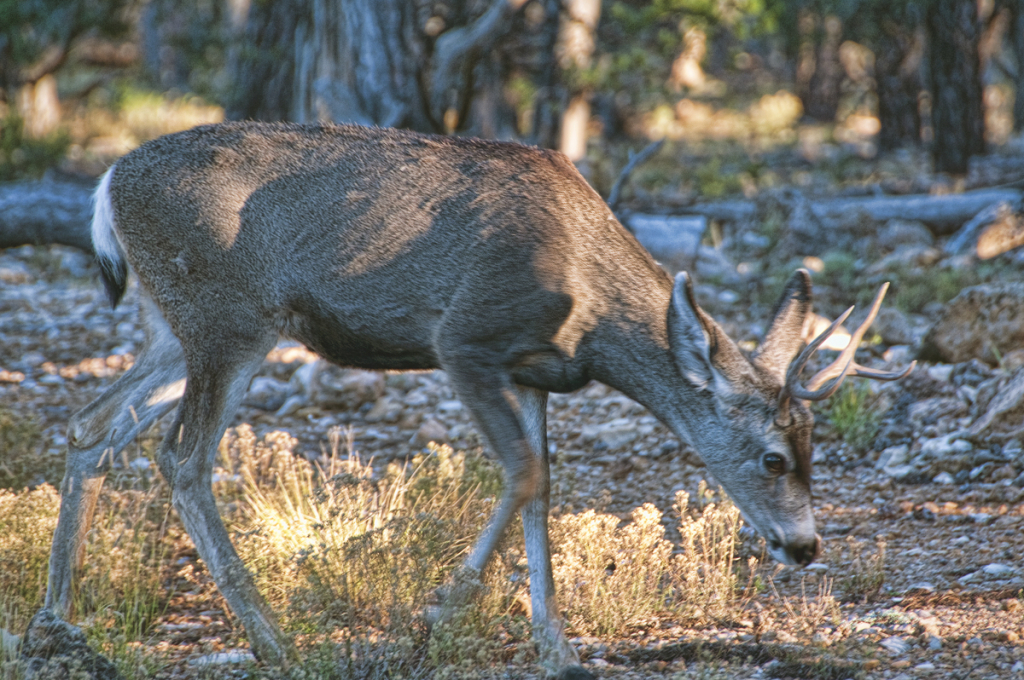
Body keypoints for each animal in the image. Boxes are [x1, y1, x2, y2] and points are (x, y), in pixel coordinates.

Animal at [41, 120, 913, 675]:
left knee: (92, 423)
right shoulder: (464, 340)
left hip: (175, 326)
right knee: (182, 454)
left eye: (813, 447)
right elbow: (522, 473)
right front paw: (436, 617)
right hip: (226, 316)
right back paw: (271, 640)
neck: (589, 311)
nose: (805, 547)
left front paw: (558, 648)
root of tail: (108, 184)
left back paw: (56, 625)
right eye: (773, 458)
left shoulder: (532, 373)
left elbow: (545, 486)